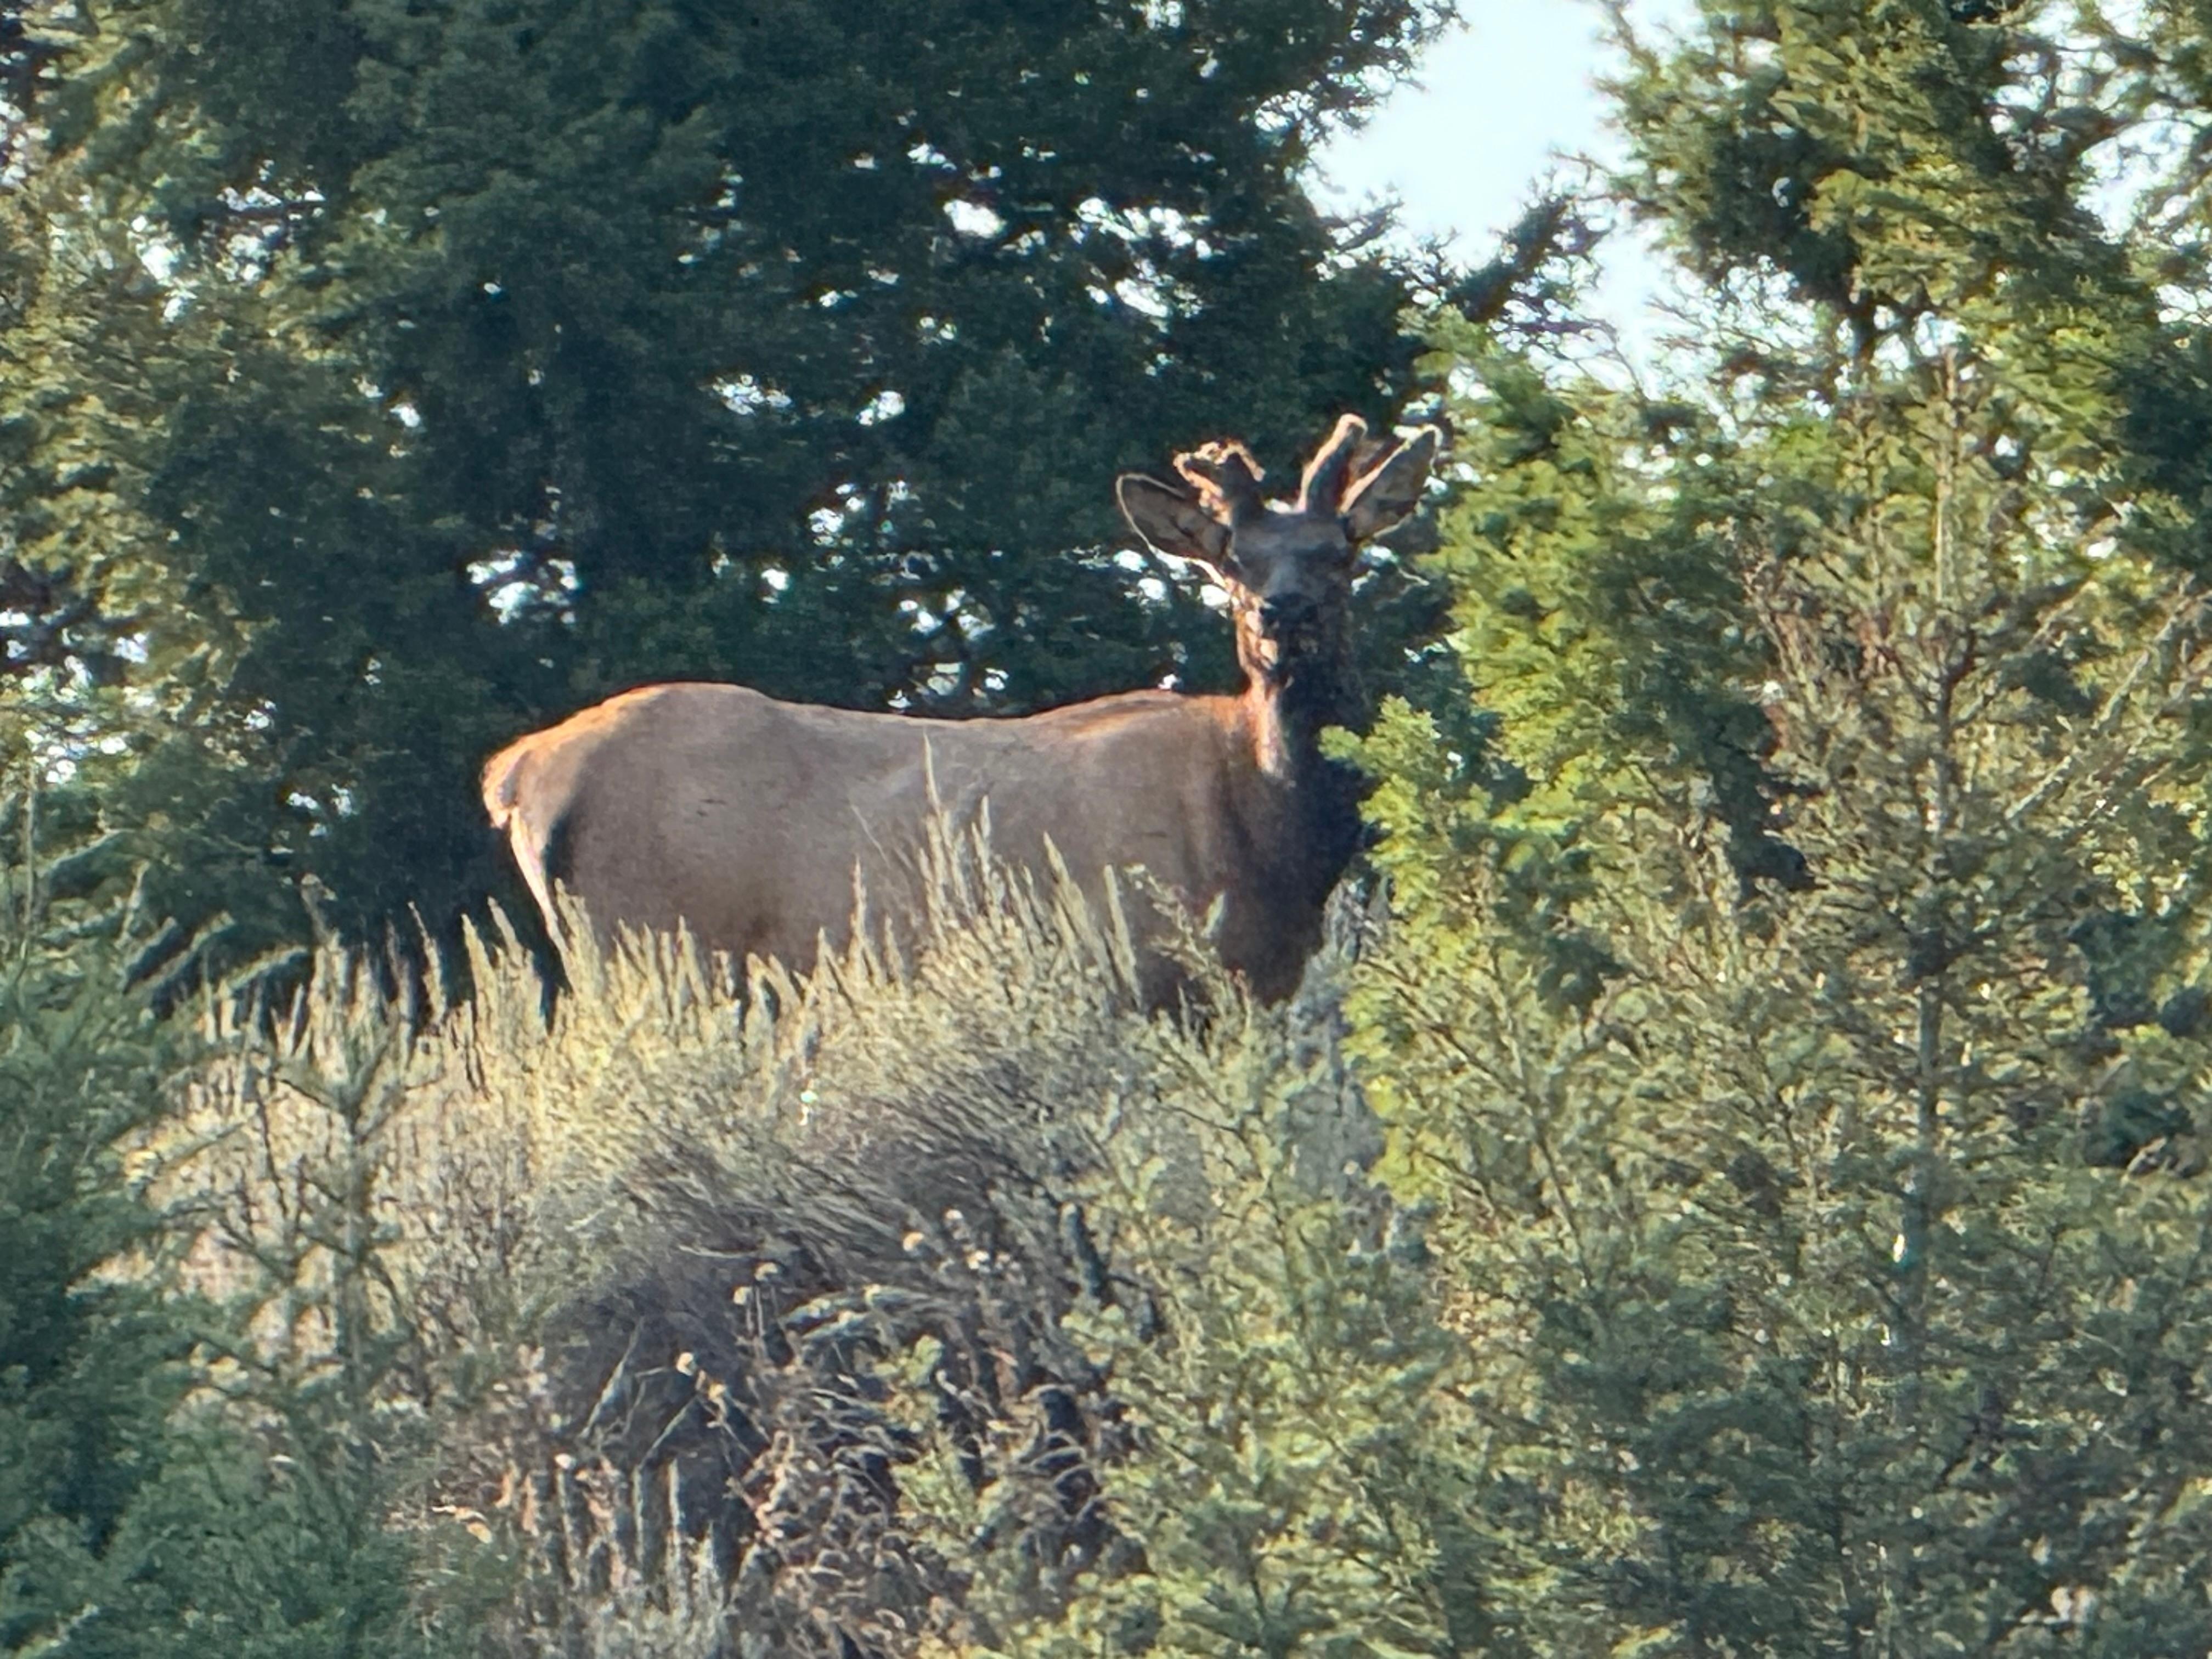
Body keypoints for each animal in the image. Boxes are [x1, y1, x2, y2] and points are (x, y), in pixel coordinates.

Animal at [481, 414, 1439, 1003]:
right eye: (1234, 561)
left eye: (1340, 552)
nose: (1284, 613)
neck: (1271, 843)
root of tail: (520, 772)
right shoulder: (1143, 966)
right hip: (654, 944)